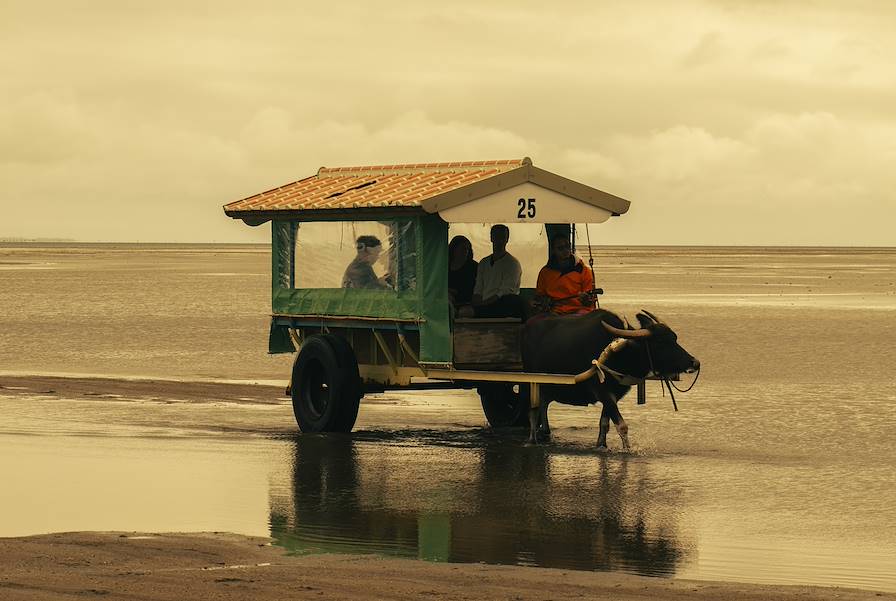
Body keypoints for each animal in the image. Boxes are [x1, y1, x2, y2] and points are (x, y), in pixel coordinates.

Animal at [520, 310, 704, 446]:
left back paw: (545, 432)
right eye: (660, 343)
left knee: (543, 404)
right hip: (531, 382)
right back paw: (532, 439)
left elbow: (604, 424)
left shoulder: (613, 395)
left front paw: (601, 445)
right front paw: (627, 449)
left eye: (675, 338)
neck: (621, 353)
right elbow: (622, 426)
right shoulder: (603, 392)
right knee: (533, 411)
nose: (695, 362)